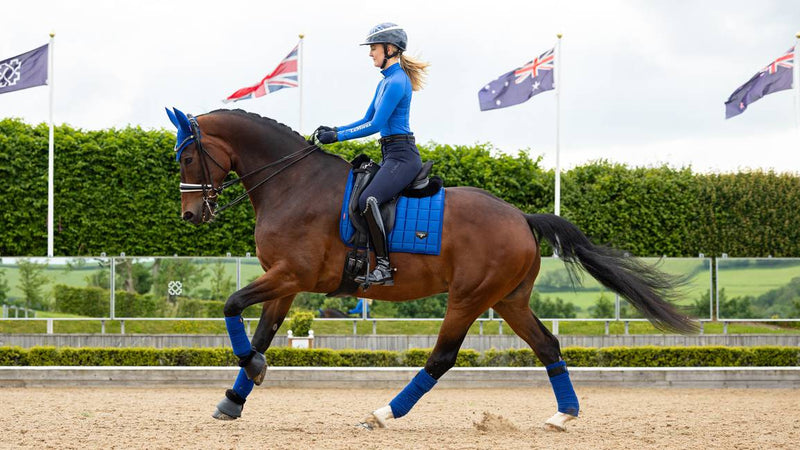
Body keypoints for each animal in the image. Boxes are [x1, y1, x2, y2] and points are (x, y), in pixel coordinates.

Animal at [166, 107, 696, 430]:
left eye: (188, 156)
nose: (190, 216)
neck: (292, 183)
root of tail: (522, 217)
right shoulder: (285, 283)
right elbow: (260, 333)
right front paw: (233, 399)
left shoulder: (290, 275)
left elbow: (232, 307)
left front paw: (253, 372)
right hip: (509, 301)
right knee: (548, 345)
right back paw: (563, 415)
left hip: (468, 298)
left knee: (441, 358)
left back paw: (383, 413)